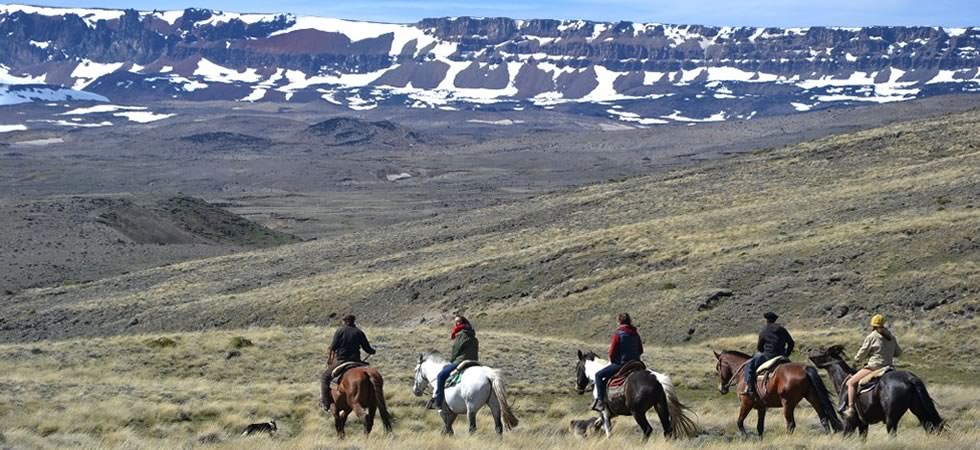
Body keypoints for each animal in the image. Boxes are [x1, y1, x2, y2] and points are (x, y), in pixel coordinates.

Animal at [572, 352, 700, 440]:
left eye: (577, 367)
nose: (577, 388)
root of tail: (657, 379)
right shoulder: (612, 413)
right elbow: (598, 423)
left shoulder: (604, 412)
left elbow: (608, 430)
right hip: (660, 406)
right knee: (667, 429)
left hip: (637, 412)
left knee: (647, 429)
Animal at [712, 352, 844, 436]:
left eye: (718, 367)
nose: (721, 388)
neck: (743, 374)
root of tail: (805, 369)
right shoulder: (761, 408)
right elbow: (760, 427)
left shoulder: (746, 404)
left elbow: (739, 423)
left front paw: (745, 437)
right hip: (812, 397)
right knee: (823, 418)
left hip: (788, 404)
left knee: (790, 424)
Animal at [808, 344, 944, 436]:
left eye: (822, 349)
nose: (809, 350)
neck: (843, 380)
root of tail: (910, 378)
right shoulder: (863, 425)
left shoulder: (849, 423)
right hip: (919, 411)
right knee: (929, 427)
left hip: (891, 419)